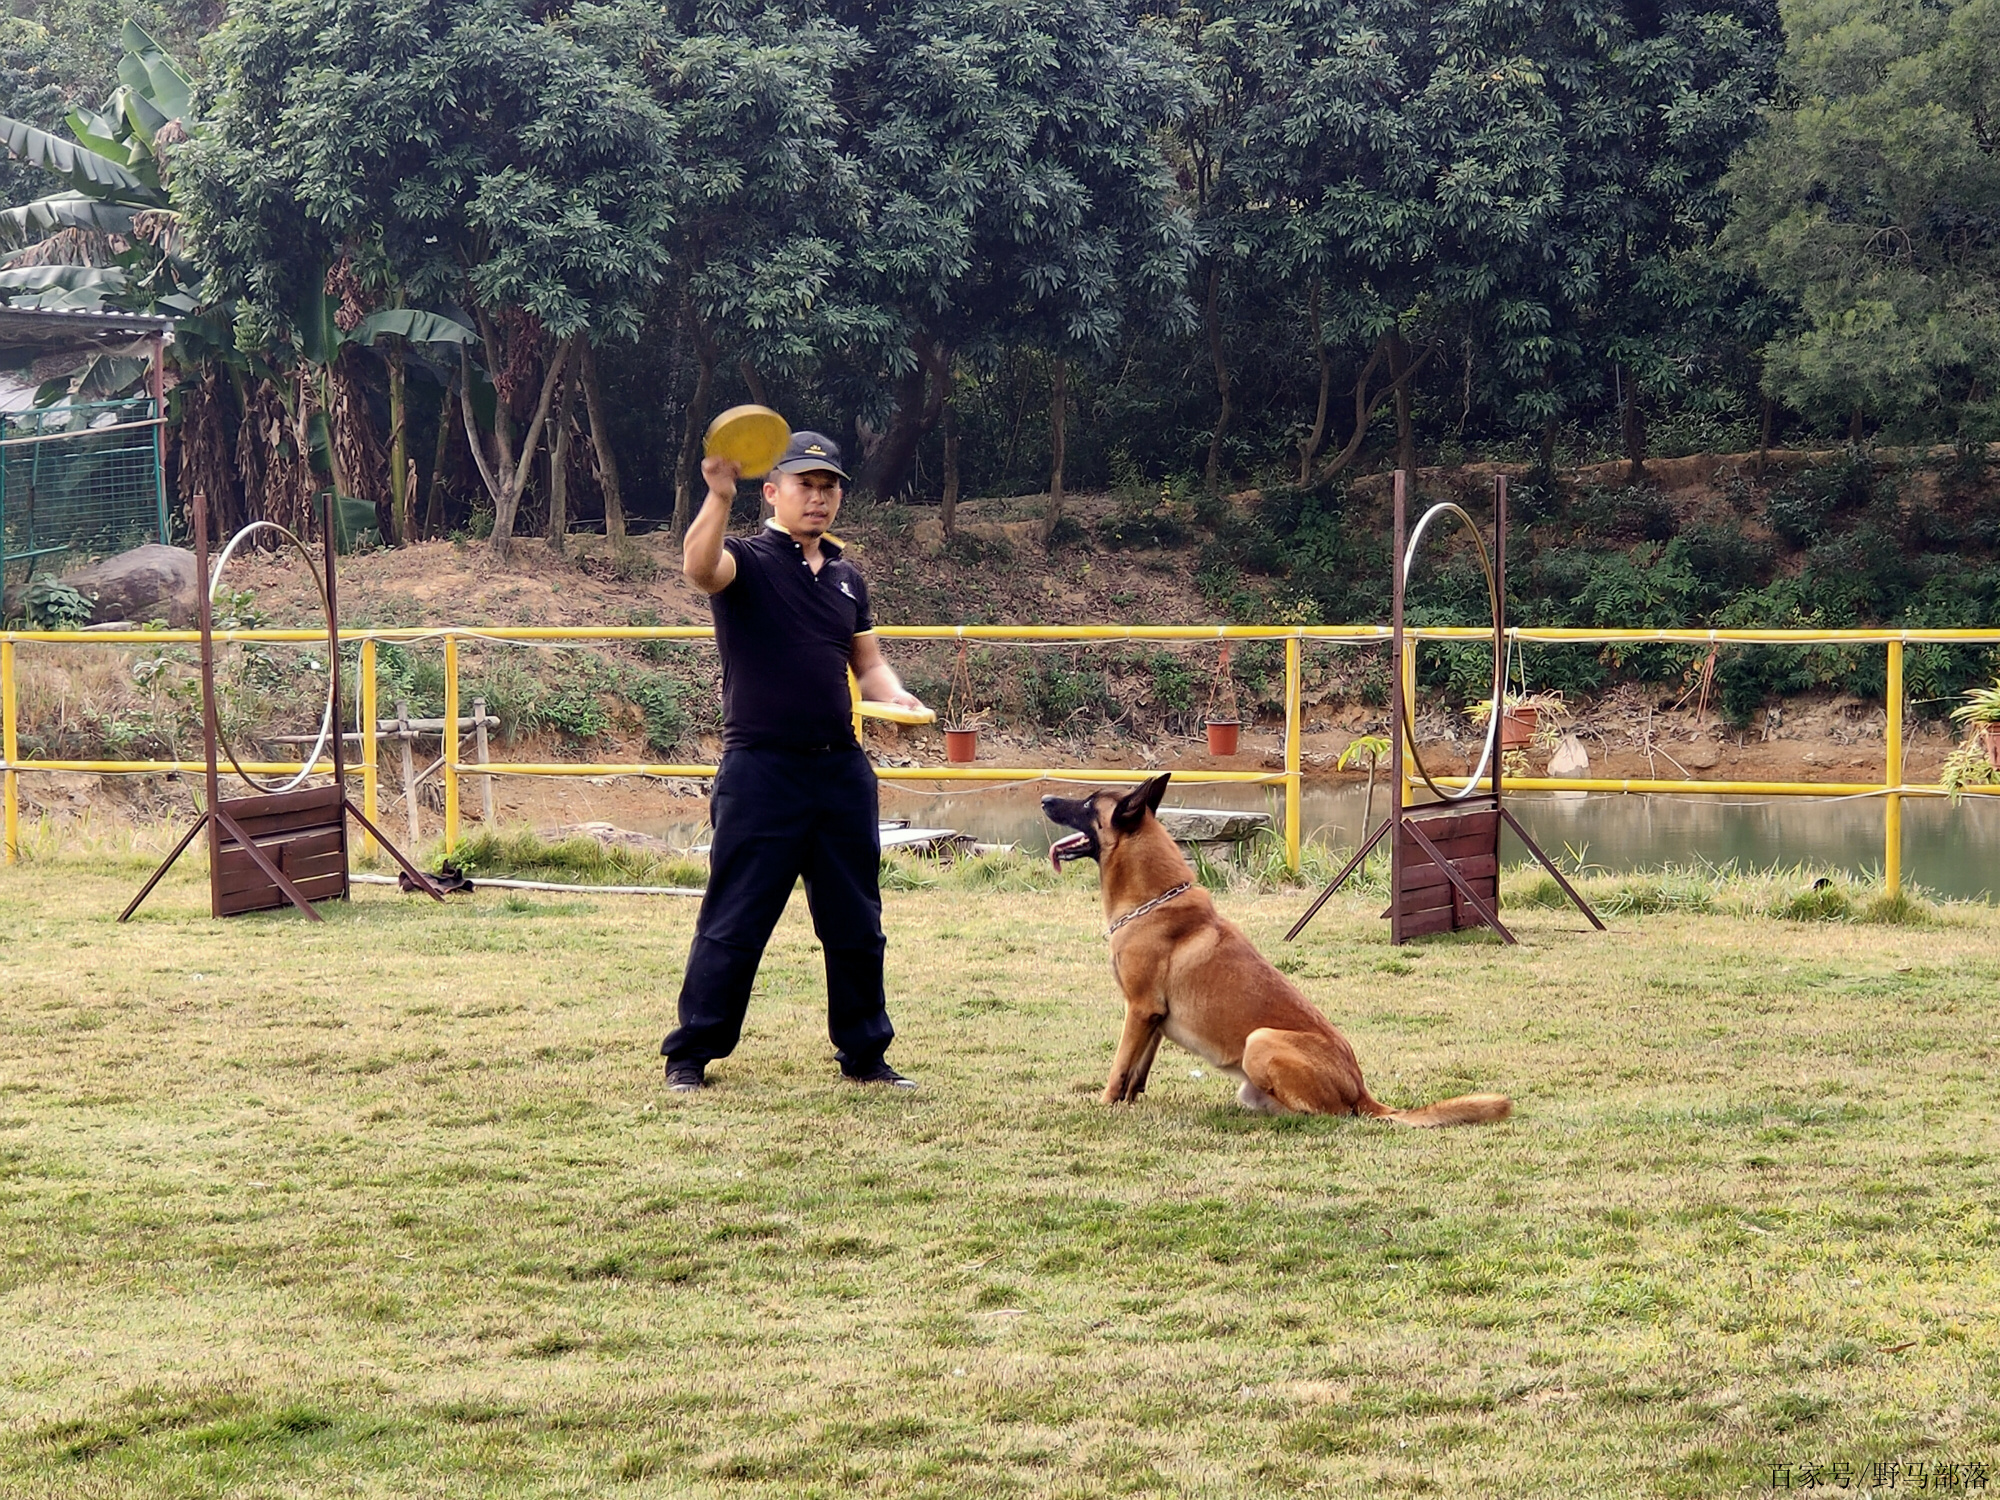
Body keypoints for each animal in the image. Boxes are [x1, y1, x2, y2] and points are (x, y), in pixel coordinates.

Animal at [1040, 780, 1504, 1120]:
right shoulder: (1151, 1017)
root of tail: (1360, 1090)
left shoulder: (1138, 1010)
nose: (1044, 798)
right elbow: (1137, 1071)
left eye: (1086, 803)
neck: (1154, 901)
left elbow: (1119, 1066)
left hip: (1260, 1041)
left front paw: (1103, 1106)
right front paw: (1128, 1102)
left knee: (1320, 1115)